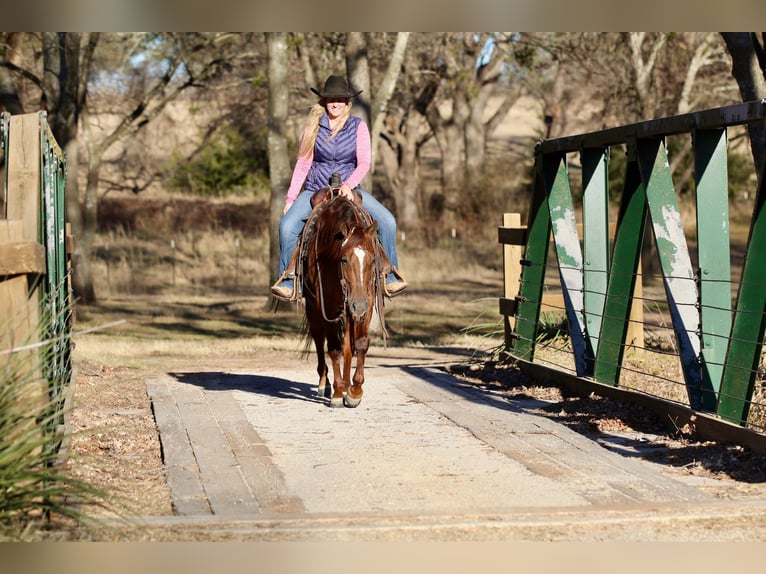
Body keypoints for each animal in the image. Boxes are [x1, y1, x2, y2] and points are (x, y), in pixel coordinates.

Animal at [301, 193, 385, 408]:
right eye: (344, 259)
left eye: (373, 259)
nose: (358, 305)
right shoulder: (328, 305)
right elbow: (333, 348)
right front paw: (338, 392)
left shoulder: (366, 302)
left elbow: (360, 344)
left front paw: (354, 391)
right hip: (314, 309)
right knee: (319, 339)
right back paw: (325, 383)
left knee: (348, 345)